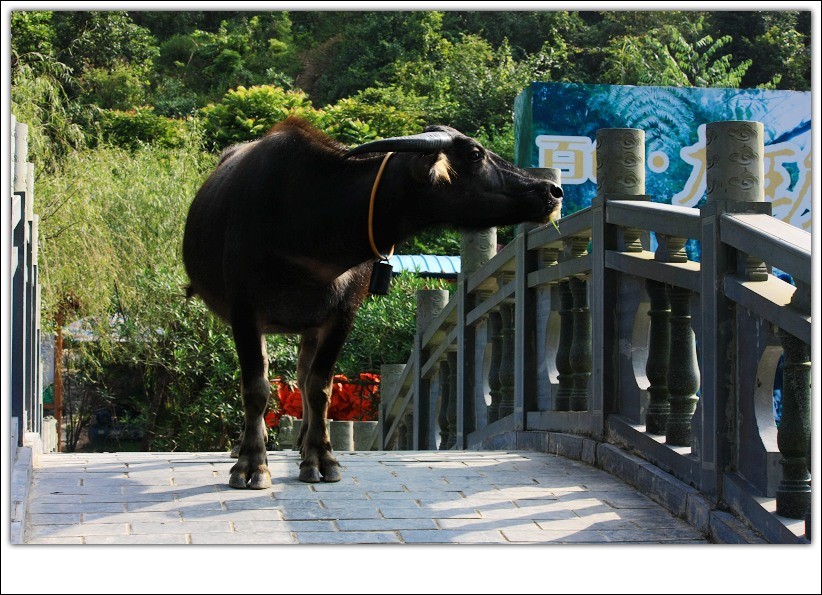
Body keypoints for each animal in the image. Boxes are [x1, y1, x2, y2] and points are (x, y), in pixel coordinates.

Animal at [183, 117, 564, 488]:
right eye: (474, 154)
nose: (552, 190)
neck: (311, 225)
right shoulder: (245, 312)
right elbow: (256, 387)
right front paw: (251, 464)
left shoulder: (343, 314)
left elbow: (320, 386)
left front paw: (321, 458)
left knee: (304, 375)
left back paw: (304, 442)